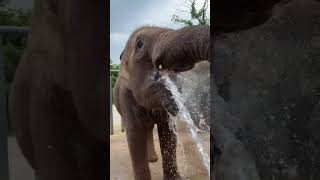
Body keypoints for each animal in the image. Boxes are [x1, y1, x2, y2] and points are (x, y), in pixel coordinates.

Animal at [113, 25, 210, 180]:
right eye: (139, 44)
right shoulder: (126, 98)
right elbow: (134, 135)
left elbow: (167, 132)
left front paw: (175, 178)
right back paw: (151, 159)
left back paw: (153, 159)